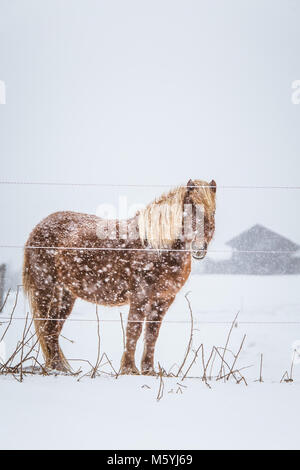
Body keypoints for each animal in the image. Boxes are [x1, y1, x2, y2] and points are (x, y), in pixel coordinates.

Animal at [22, 179, 216, 374]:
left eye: (212, 211)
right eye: (190, 208)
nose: (200, 249)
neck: (156, 246)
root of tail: (38, 228)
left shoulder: (163, 299)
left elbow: (152, 334)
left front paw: (149, 371)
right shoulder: (140, 296)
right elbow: (133, 330)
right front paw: (130, 369)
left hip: (65, 294)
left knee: (52, 328)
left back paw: (59, 368)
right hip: (45, 288)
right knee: (47, 328)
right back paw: (58, 369)